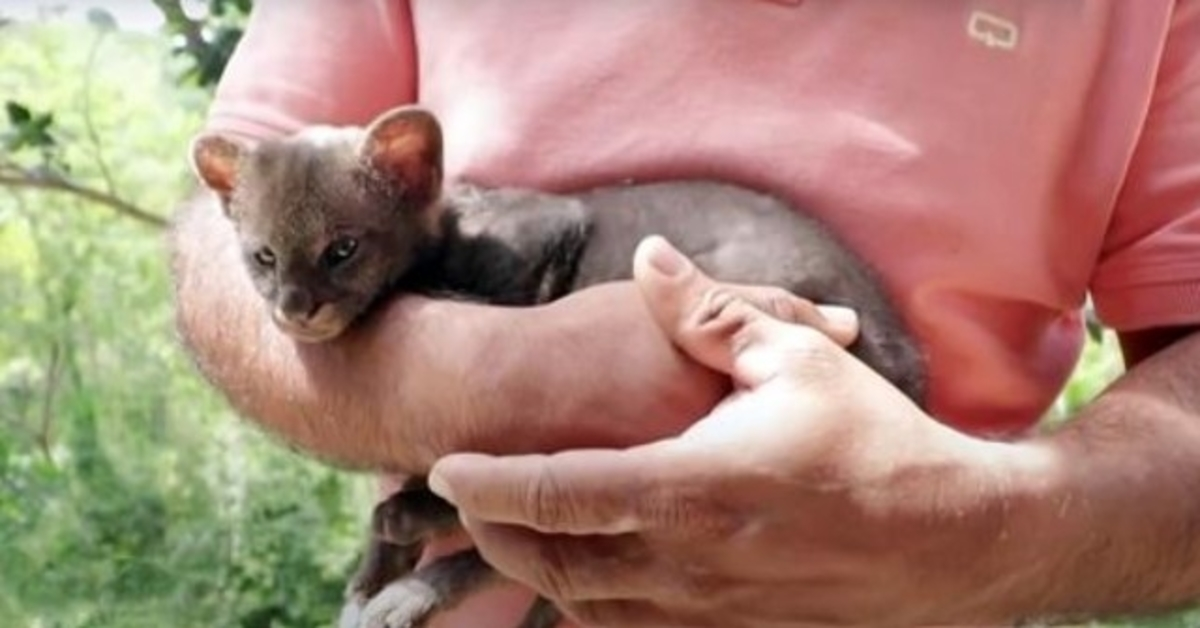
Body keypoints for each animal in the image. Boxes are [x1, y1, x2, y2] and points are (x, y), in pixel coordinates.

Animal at [189, 108, 926, 628]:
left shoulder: (547, 232)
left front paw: (395, 554)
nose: (293, 308)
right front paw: (372, 576)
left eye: (341, 248)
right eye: (263, 256)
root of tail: (902, 358)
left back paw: (413, 560)